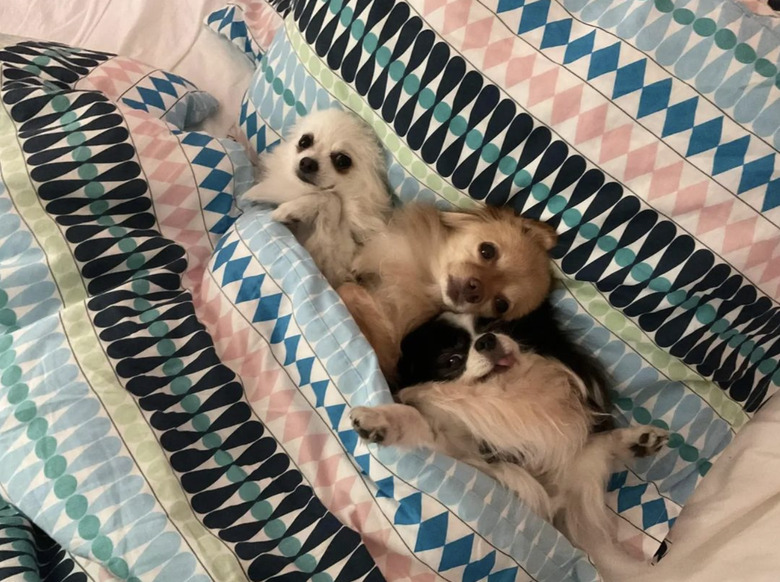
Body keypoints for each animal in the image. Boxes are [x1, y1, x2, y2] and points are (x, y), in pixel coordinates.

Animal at [242, 109, 390, 288]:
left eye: (342, 160)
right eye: (304, 141)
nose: (307, 163)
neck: (302, 190)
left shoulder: (334, 268)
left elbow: (331, 199)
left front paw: (288, 211)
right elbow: (330, 198)